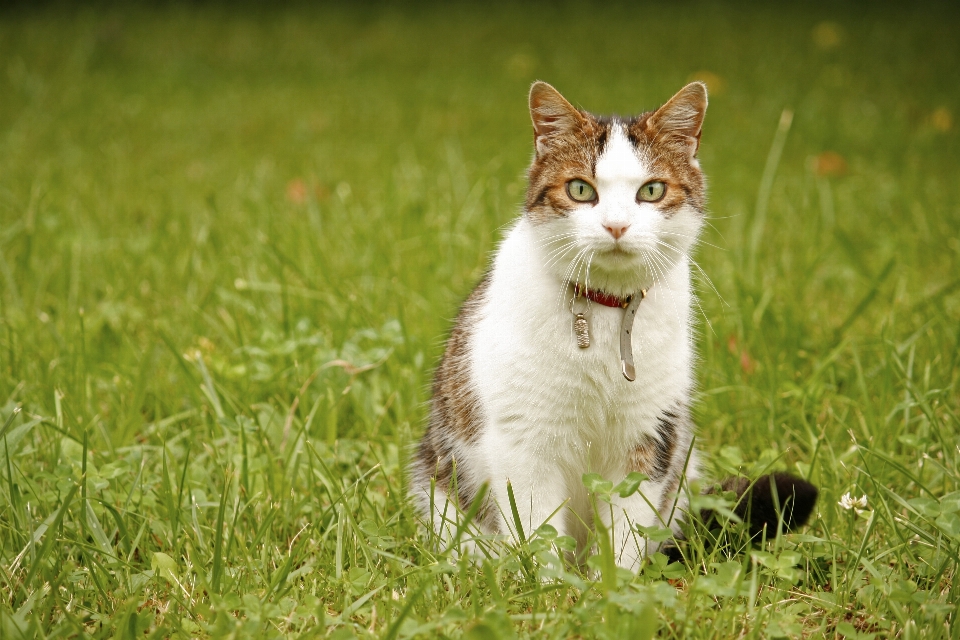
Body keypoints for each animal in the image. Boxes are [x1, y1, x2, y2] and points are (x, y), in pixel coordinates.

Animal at [406, 81, 816, 568]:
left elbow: (627, 534)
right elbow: (538, 530)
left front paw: (617, 584)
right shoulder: (524, 442)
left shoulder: (650, 437)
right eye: (581, 189)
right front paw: (547, 586)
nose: (616, 226)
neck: (605, 312)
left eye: (652, 190)